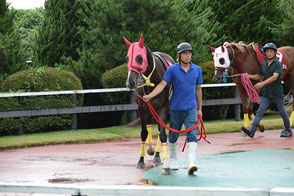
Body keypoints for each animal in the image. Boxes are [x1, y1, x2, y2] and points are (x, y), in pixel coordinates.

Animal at [123, 34, 175, 174]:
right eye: (127, 58)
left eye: (139, 58)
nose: (130, 82)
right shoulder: (141, 108)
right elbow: (143, 133)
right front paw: (140, 160)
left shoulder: (163, 108)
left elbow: (162, 133)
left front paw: (165, 162)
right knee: (150, 125)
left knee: (159, 128)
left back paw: (156, 154)